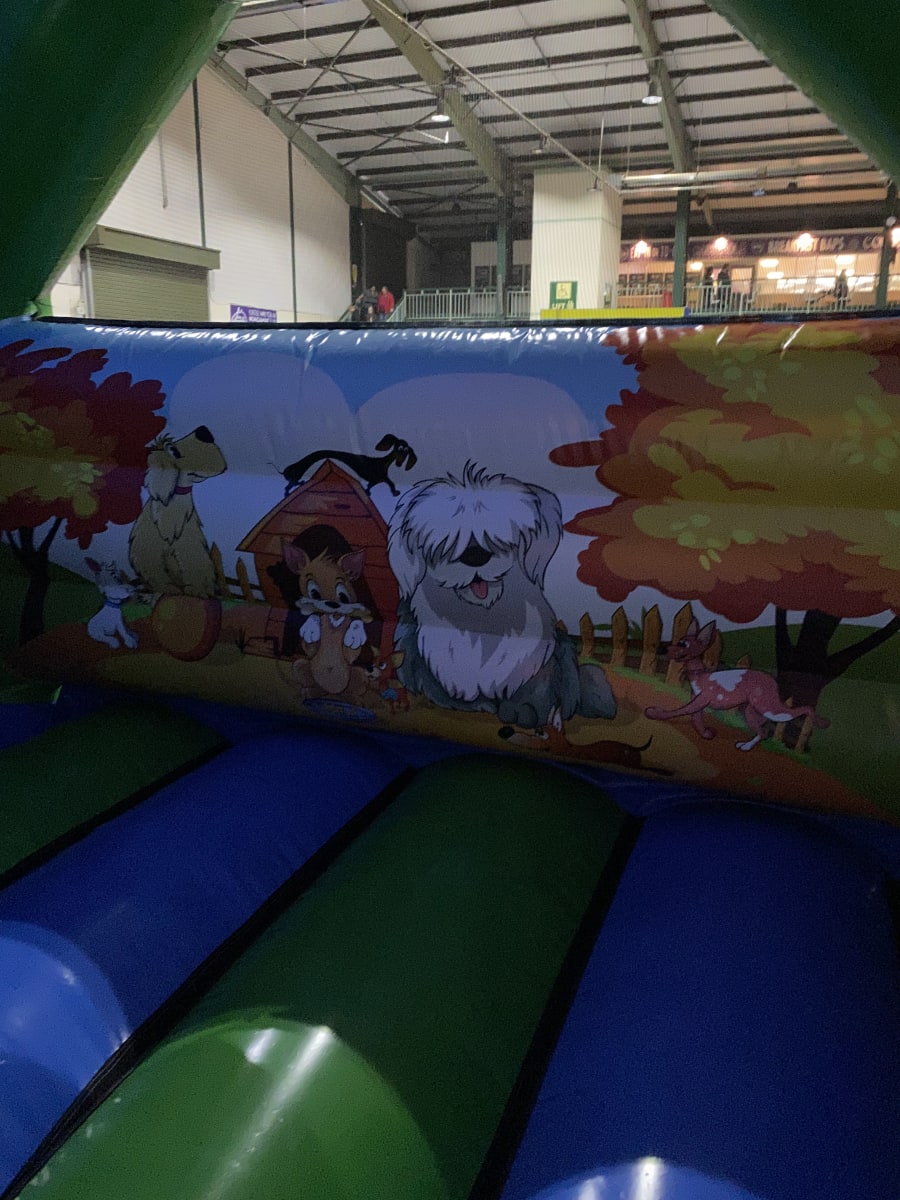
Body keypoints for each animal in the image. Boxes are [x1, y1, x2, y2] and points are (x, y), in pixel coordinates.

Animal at [128, 426, 226, 597]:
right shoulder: (146, 552)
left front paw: (198, 591)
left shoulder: (192, 548)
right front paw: (167, 589)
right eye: (173, 450)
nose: (204, 431)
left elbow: (197, 571)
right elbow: (155, 573)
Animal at [387, 462, 616, 730]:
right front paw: (478, 705)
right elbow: (439, 689)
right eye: (447, 542)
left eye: (498, 537)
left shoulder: (537, 662)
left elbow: (537, 689)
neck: (481, 623)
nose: (475, 554)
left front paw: (524, 711)